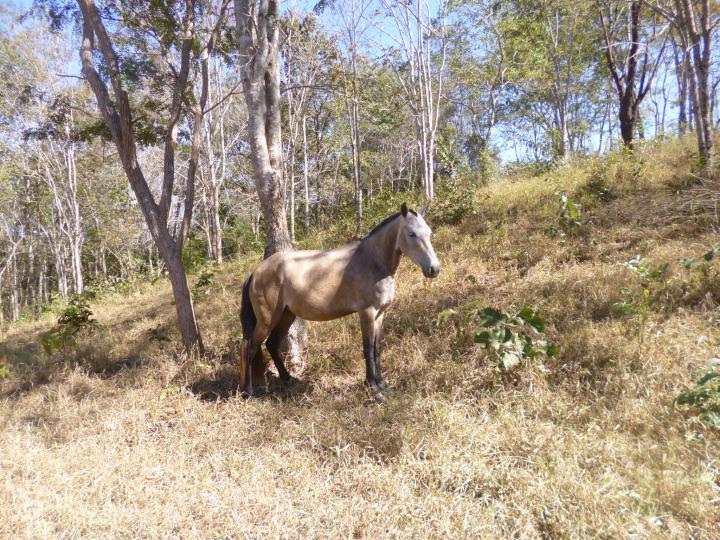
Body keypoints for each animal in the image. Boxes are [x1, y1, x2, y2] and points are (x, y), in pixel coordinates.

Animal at [240, 201, 438, 396]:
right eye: (411, 233)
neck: (371, 261)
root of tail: (256, 272)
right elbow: (368, 348)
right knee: (250, 347)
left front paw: (383, 385)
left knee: (271, 345)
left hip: (286, 315)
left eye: (429, 233)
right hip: (267, 320)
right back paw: (249, 391)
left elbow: (377, 348)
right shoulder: (367, 313)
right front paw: (373, 387)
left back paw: (288, 379)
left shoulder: (380, 314)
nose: (434, 269)